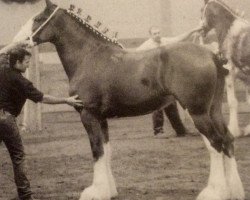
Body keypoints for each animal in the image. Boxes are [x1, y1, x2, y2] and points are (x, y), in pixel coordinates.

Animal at [15, 0, 244, 199]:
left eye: (38, 18)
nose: (18, 41)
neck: (89, 57)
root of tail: (211, 55)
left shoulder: (88, 115)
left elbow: (96, 150)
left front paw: (95, 191)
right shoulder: (101, 118)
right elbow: (106, 150)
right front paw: (108, 190)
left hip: (198, 112)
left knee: (216, 143)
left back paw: (213, 192)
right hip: (213, 110)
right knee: (227, 140)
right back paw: (234, 191)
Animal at [202, 0, 250, 138]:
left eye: (202, 10)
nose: (202, 29)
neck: (229, 31)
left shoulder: (229, 74)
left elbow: (232, 102)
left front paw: (233, 130)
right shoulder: (246, 79)